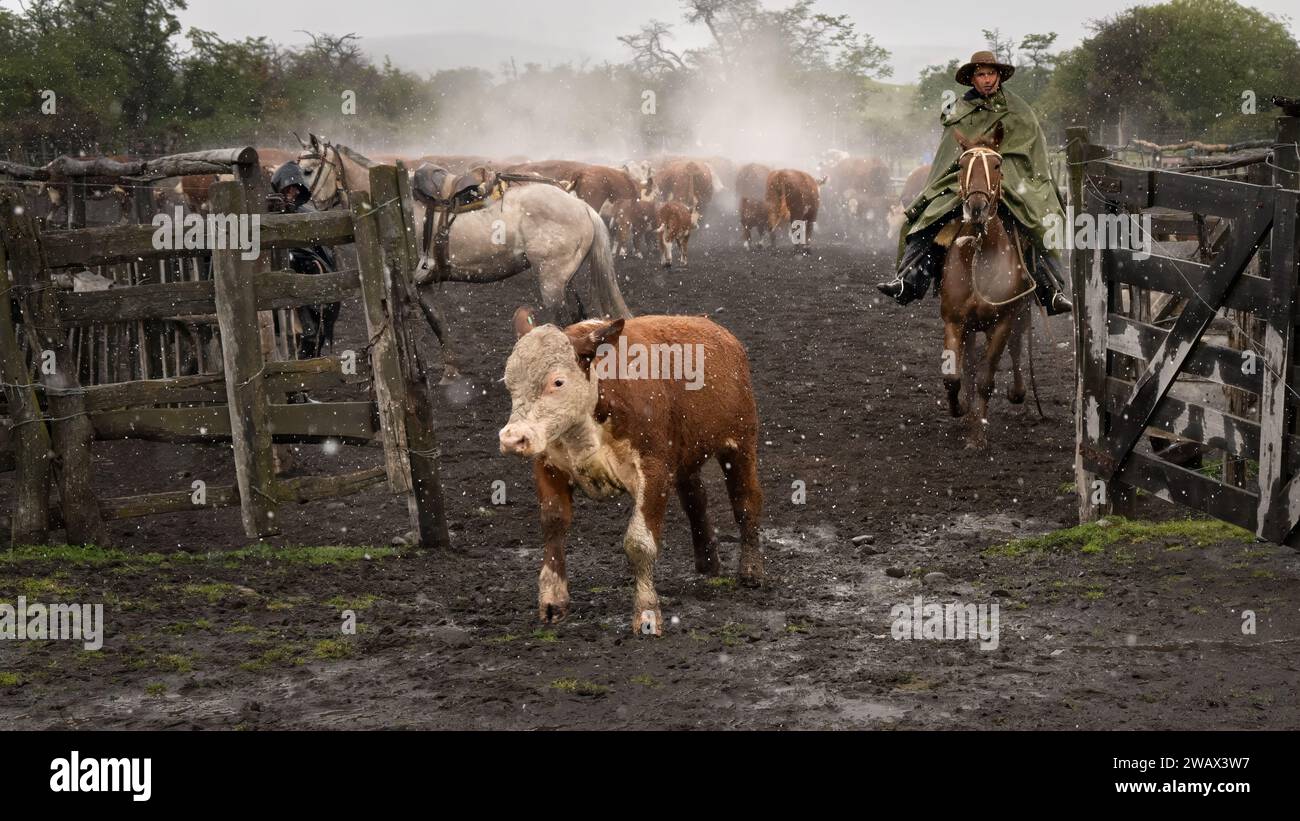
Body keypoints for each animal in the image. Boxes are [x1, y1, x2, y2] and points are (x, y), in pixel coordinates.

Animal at [493, 307, 759, 633]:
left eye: (557, 382)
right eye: (509, 381)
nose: (512, 439)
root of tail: (720, 333)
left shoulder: (653, 470)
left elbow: (639, 542)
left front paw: (647, 614)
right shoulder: (547, 463)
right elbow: (553, 523)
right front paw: (553, 601)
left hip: (740, 442)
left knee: (746, 501)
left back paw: (751, 571)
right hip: (686, 457)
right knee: (696, 499)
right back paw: (707, 561)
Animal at [941, 123, 1029, 449]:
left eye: (997, 165)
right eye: (961, 165)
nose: (976, 208)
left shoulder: (1002, 321)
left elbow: (985, 380)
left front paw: (977, 436)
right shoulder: (954, 321)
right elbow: (955, 376)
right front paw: (961, 410)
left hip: (1020, 311)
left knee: (1016, 345)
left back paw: (1017, 392)